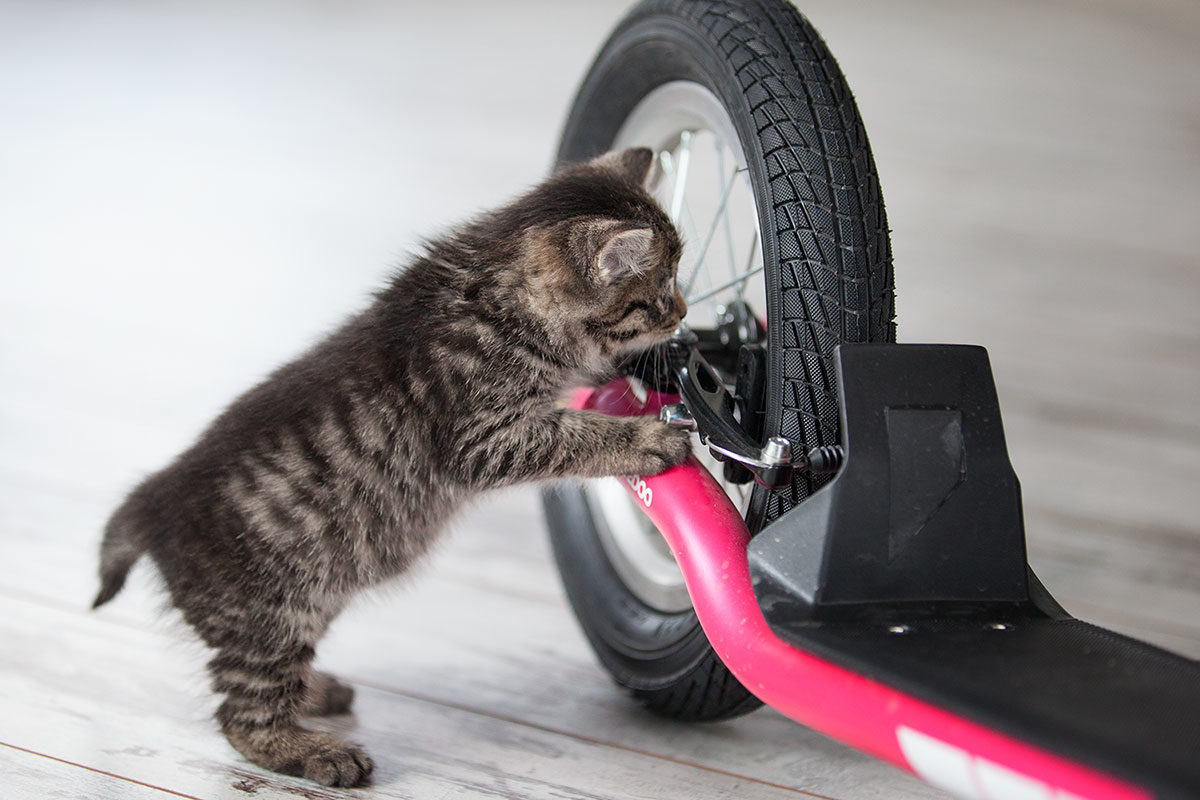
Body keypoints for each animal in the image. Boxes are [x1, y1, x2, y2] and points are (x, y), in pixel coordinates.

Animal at [90, 148, 691, 786]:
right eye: (662, 287)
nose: (684, 311)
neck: (491, 287)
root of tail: (154, 498)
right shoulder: (483, 439)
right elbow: (574, 436)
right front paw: (645, 438)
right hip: (271, 614)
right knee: (242, 716)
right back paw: (314, 750)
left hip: (314, 599)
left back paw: (313, 692)